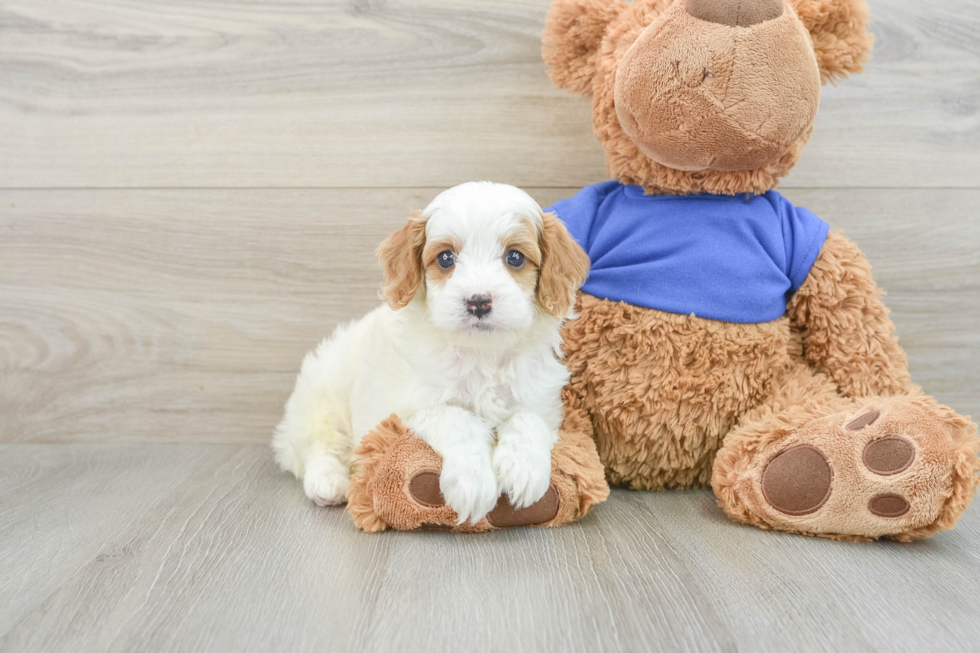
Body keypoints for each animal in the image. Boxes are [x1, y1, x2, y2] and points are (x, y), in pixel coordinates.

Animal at [272, 181, 584, 524]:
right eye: (445, 258)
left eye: (515, 257)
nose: (478, 301)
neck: (481, 353)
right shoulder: (404, 408)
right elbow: (457, 418)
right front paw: (473, 483)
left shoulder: (541, 401)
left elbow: (529, 419)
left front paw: (524, 470)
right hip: (324, 392)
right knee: (317, 443)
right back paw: (328, 481)